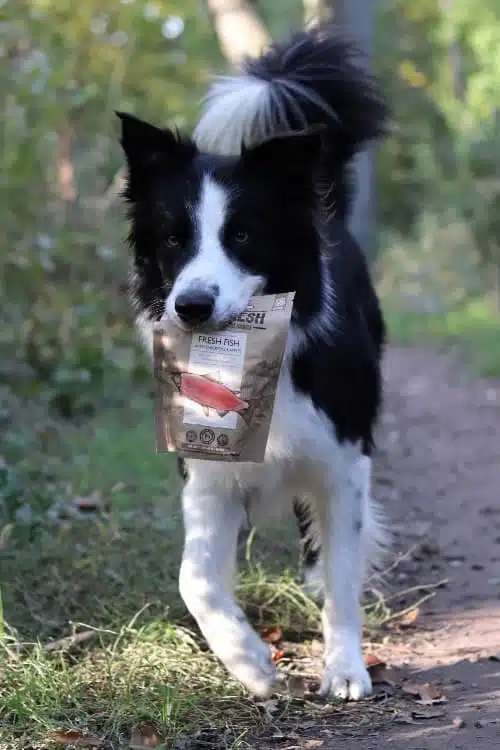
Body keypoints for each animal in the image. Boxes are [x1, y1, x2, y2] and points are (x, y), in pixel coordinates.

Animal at [119, 25, 388, 704]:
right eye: (173, 239)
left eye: (242, 235)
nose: (190, 306)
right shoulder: (206, 470)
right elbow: (195, 580)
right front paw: (251, 663)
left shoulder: (342, 459)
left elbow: (343, 572)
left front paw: (346, 669)